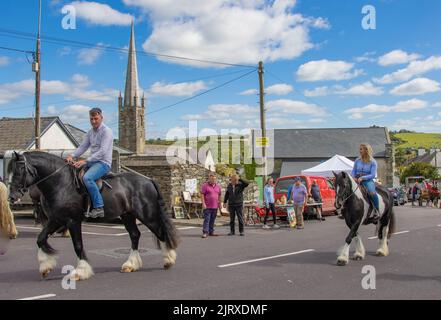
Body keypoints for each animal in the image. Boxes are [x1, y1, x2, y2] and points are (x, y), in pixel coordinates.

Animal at [8, 152, 178, 280]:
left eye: (19, 170)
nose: (12, 197)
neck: (61, 184)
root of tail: (148, 180)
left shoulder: (72, 221)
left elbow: (78, 245)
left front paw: (80, 272)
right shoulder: (56, 220)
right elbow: (40, 239)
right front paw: (45, 267)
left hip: (147, 215)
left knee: (161, 233)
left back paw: (169, 260)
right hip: (127, 216)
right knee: (135, 235)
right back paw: (130, 264)